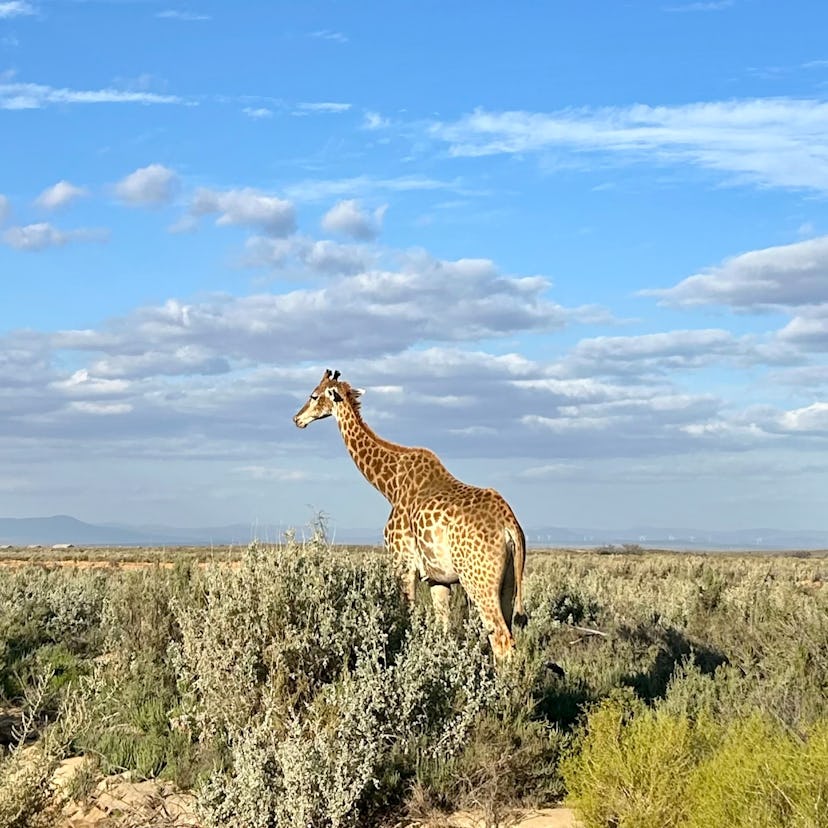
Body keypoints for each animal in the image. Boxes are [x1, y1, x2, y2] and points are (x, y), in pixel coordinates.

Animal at [293, 368, 528, 660]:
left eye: (314, 395)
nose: (297, 419)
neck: (390, 485)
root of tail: (510, 526)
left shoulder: (402, 562)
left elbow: (407, 617)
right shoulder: (438, 578)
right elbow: (443, 628)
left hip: (478, 580)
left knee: (501, 639)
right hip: (508, 582)